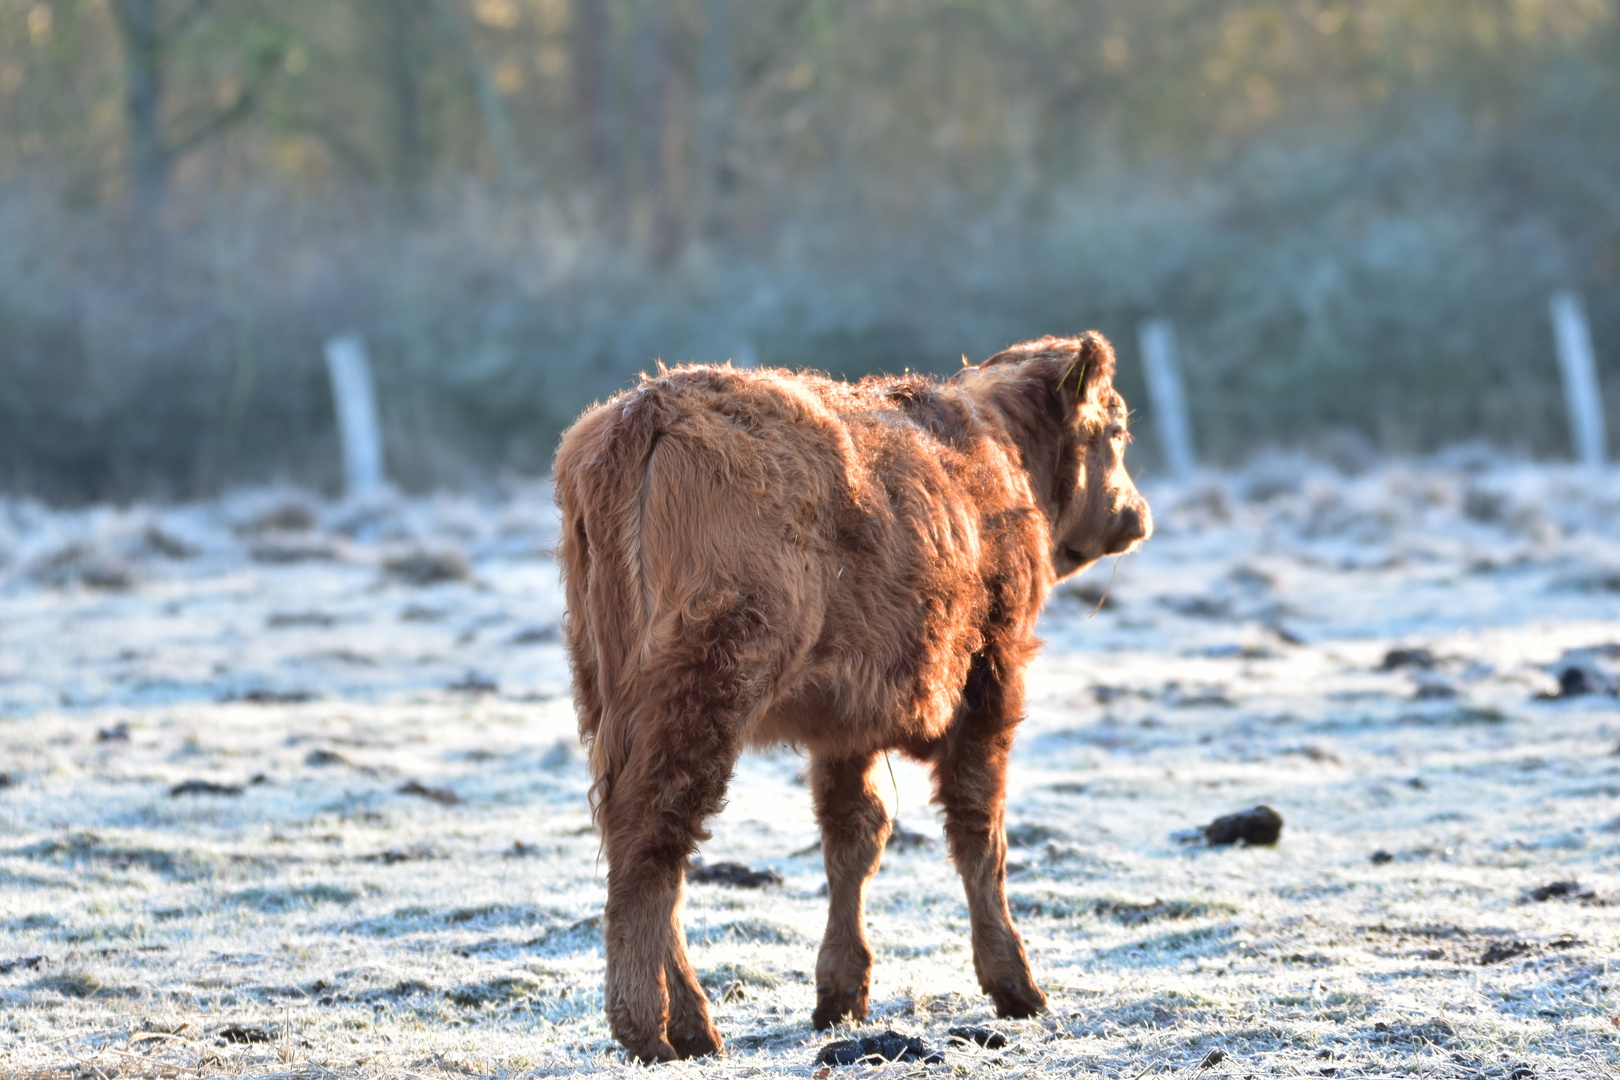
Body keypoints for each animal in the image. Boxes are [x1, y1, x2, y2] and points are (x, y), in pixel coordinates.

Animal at [554, 333, 1153, 1062]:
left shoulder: (846, 725)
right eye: (1117, 430)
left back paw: (693, 1025)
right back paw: (649, 1029)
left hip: (613, 698)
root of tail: (649, 405)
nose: (1137, 514)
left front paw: (841, 992)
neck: (999, 453)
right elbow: (980, 831)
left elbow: (854, 837)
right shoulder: (992, 680)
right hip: (703, 690)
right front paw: (1014, 983)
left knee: (640, 841)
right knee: (652, 837)